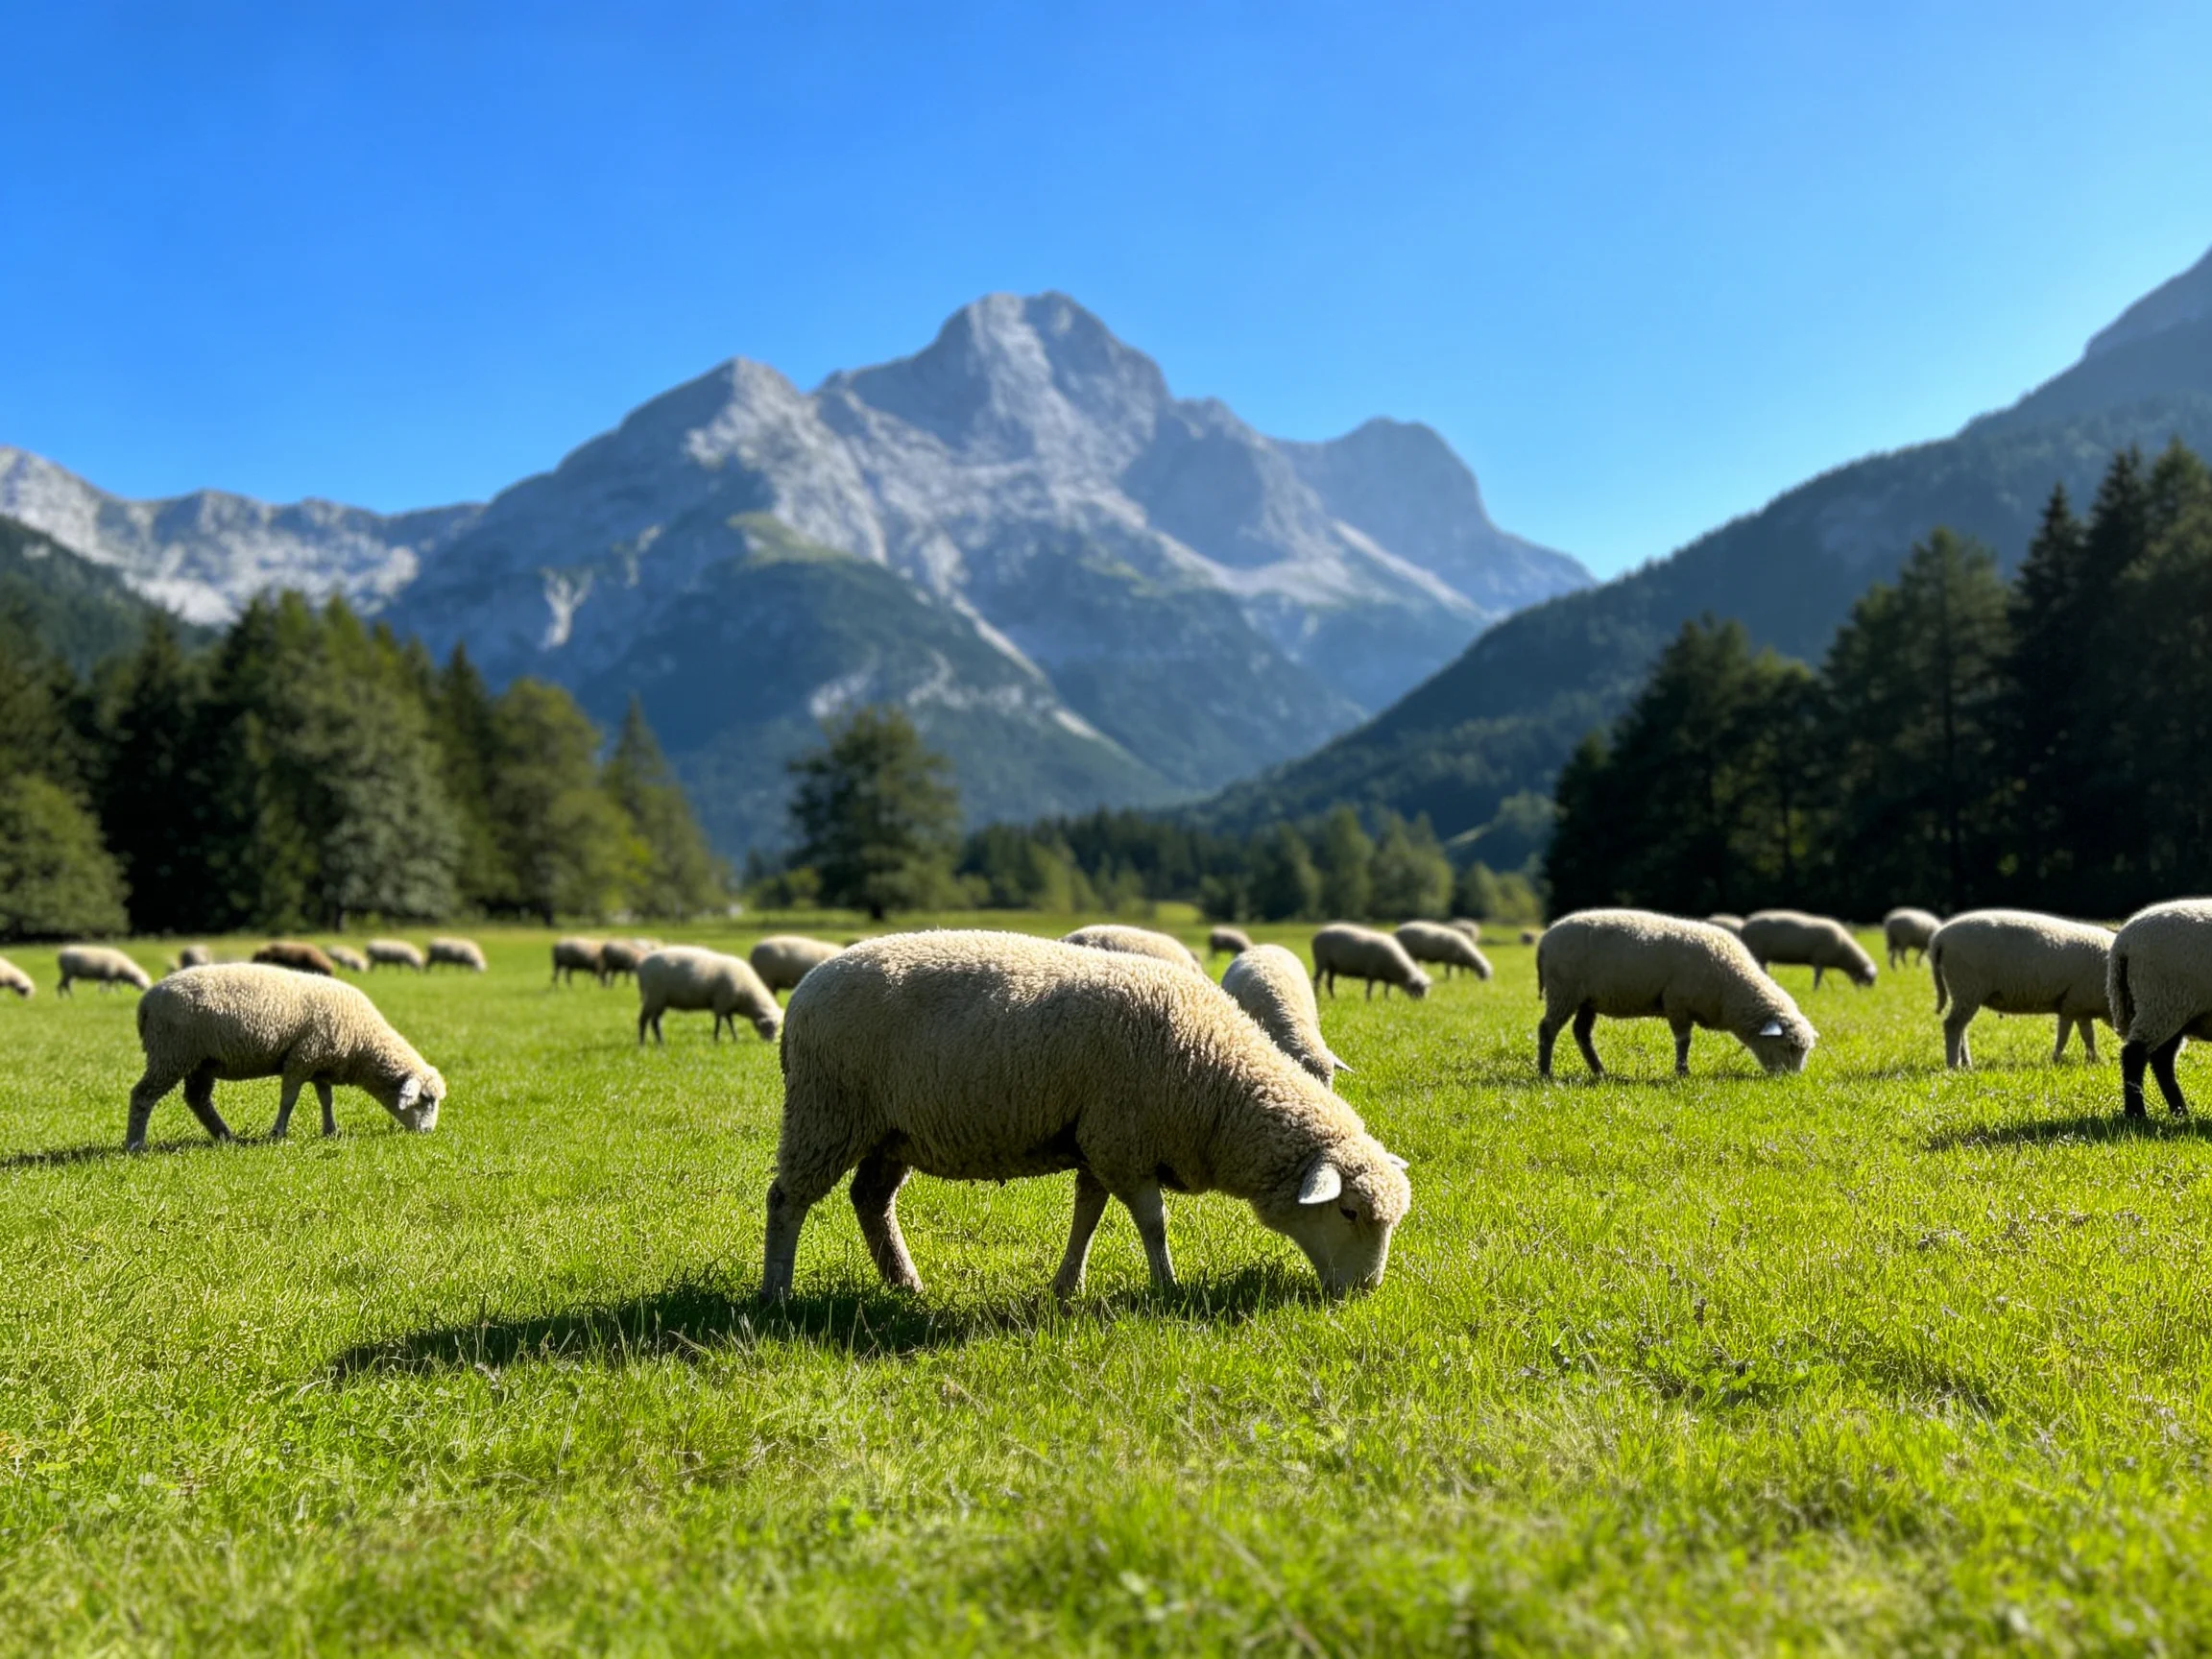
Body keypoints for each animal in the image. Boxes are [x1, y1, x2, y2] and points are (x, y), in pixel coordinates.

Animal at [125, 963, 444, 1151]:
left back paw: (226, 1137)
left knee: (197, 1099)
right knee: (142, 1095)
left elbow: (326, 1099)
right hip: (171, 1053)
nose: (428, 1133)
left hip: (199, 1062)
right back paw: (135, 1144)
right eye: (426, 1099)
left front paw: (330, 1130)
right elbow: (288, 1100)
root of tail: (146, 1002)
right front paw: (277, 1133)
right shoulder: (301, 1058)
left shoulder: (319, 1063)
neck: (363, 1042)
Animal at [637, 947, 780, 1044]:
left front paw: (735, 1038)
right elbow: (719, 1021)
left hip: (660, 1000)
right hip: (654, 996)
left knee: (655, 1021)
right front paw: (716, 1039)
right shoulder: (722, 1000)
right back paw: (642, 1042)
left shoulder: (727, 1004)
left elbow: (730, 1022)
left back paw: (660, 1042)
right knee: (644, 1019)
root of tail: (642, 966)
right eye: (769, 1027)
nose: (771, 1042)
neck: (747, 995)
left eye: (778, 1027)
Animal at [1536, 909, 1817, 1079]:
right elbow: (1684, 1041)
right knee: (1547, 1029)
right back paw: (1546, 1073)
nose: (1791, 1079)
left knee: (1581, 1033)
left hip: (1587, 998)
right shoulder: (1677, 1003)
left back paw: (1600, 1072)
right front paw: (1682, 1072)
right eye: (1789, 1046)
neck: (1732, 987)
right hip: (1563, 991)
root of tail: (1547, 937)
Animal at [1739, 910, 1878, 989]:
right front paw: (1815, 990)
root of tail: (1744, 927)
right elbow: (1817, 978)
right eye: (1869, 980)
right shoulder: (1820, 959)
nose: (1867, 995)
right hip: (1756, 951)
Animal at [2108, 900, 2212, 1117]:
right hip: (2161, 1001)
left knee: (2161, 1059)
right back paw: (2136, 1112)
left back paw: (2179, 1111)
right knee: (2134, 1055)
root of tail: (2123, 942)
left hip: (2173, 1010)